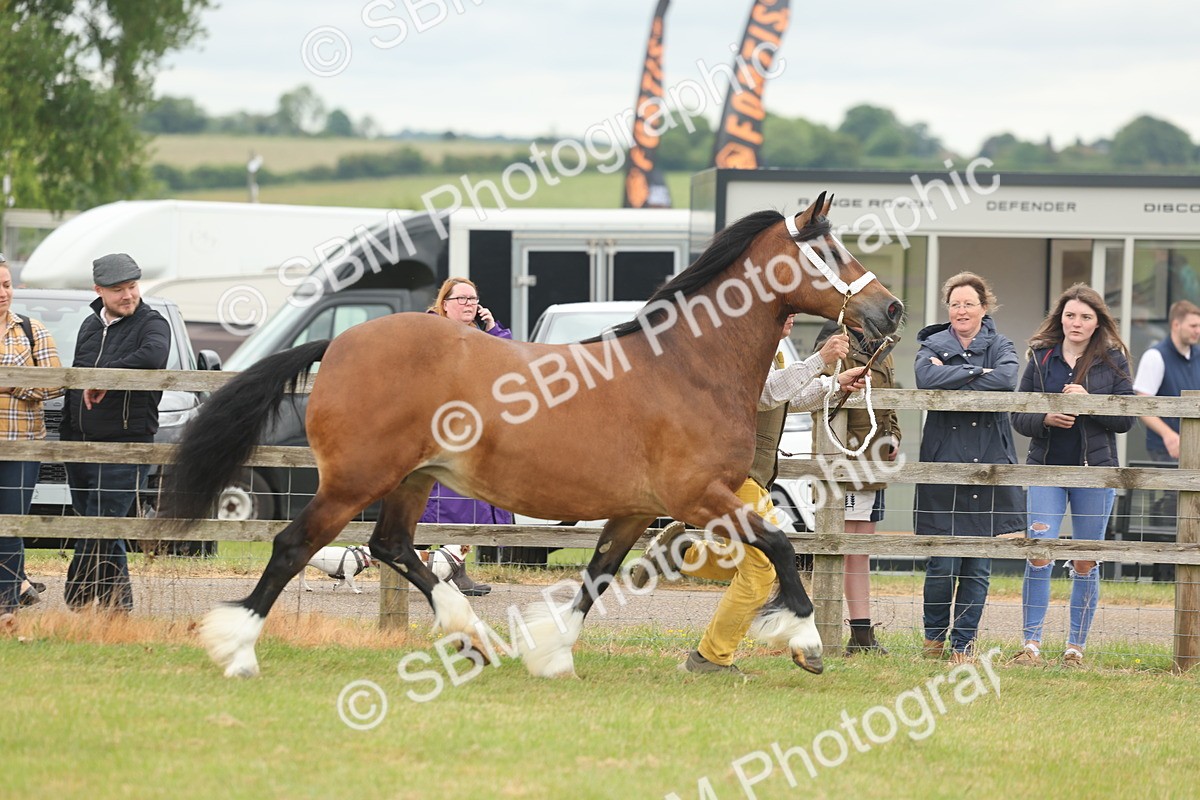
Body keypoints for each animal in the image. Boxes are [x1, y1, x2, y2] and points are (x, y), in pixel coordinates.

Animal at [160, 192, 904, 678]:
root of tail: (339, 341)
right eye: (830, 249)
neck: (686, 367)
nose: (890, 309)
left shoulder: (634, 511)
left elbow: (597, 577)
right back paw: (236, 648)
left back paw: (475, 638)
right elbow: (779, 546)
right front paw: (806, 640)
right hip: (354, 480)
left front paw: (549, 654)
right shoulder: (699, 498)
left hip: (413, 479)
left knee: (393, 546)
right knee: (295, 546)